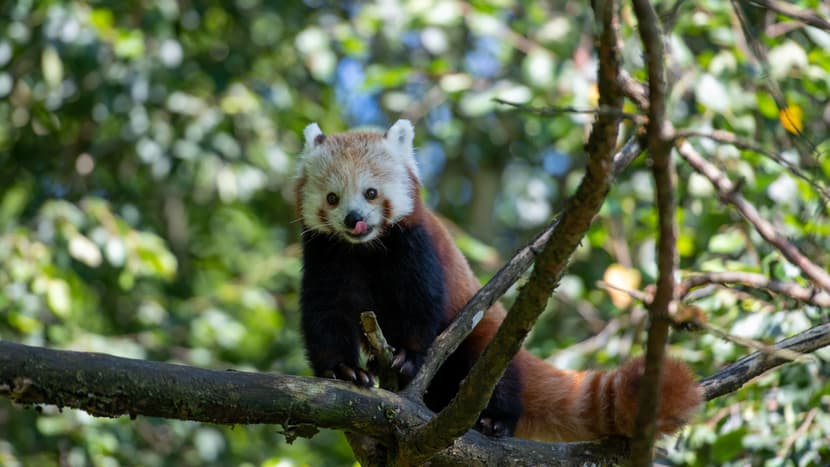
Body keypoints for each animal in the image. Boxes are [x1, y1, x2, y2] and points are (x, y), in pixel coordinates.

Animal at [292, 119, 704, 442]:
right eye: (332, 198)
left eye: (371, 193)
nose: (354, 219)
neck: (366, 249)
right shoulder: (329, 256)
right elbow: (326, 312)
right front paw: (343, 370)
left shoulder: (415, 247)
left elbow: (419, 303)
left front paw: (407, 355)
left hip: (487, 341)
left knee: (491, 369)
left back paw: (495, 418)